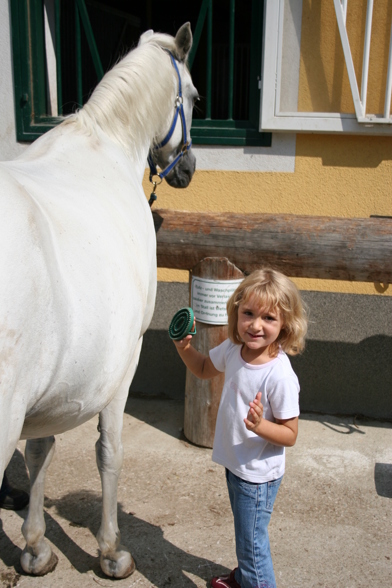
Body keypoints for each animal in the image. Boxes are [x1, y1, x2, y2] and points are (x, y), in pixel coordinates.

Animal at [0, 24, 196, 580]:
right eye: (194, 97)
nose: (188, 168)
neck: (103, 144)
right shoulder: (122, 361)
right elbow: (109, 450)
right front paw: (110, 550)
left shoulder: (54, 375)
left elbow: (40, 449)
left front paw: (35, 546)